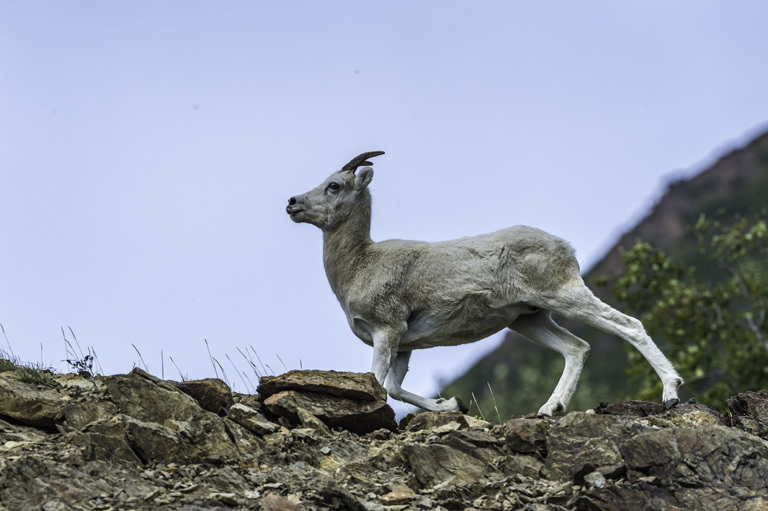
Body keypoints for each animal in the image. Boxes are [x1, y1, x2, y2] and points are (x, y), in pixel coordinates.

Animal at [284, 152, 680, 416]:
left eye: (334, 185)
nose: (292, 203)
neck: (359, 264)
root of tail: (565, 247)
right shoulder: (404, 343)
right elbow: (395, 389)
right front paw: (451, 405)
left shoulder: (387, 331)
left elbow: (379, 384)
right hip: (529, 319)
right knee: (577, 348)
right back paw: (549, 409)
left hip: (564, 296)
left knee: (629, 325)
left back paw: (670, 394)